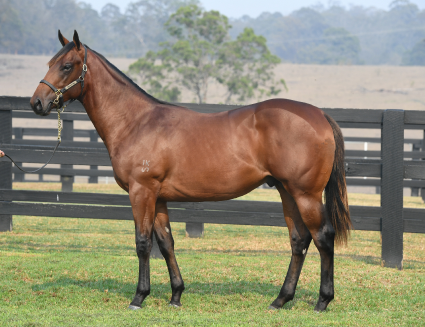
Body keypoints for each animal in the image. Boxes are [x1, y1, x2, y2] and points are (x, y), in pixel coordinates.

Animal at [29, 30, 348, 312]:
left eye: (66, 65)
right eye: (49, 64)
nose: (36, 103)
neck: (137, 122)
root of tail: (320, 115)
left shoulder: (141, 191)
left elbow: (143, 242)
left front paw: (139, 297)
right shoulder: (158, 197)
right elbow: (166, 243)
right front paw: (176, 295)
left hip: (305, 194)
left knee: (323, 237)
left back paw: (322, 301)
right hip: (286, 192)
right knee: (299, 240)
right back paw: (280, 300)